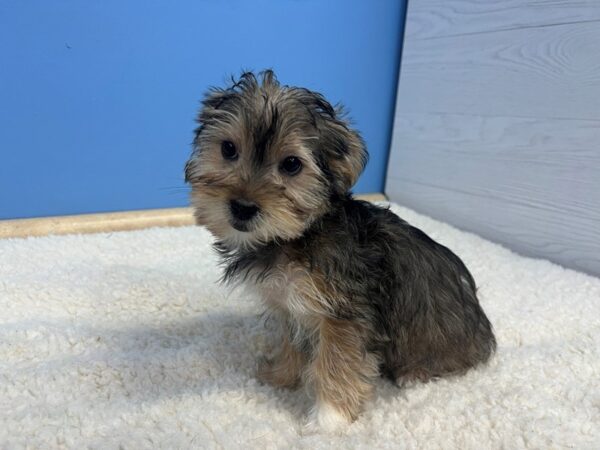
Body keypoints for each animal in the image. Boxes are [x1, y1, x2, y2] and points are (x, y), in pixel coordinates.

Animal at [185, 71, 494, 432]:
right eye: (228, 149)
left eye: (292, 165)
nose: (242, 207)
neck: (297, 237)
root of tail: (485, 337)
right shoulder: (289, 306)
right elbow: (291, 343)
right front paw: (281, 377)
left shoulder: (344, 316)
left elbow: (335, 362)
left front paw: (328, 419)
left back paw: (413, 374)